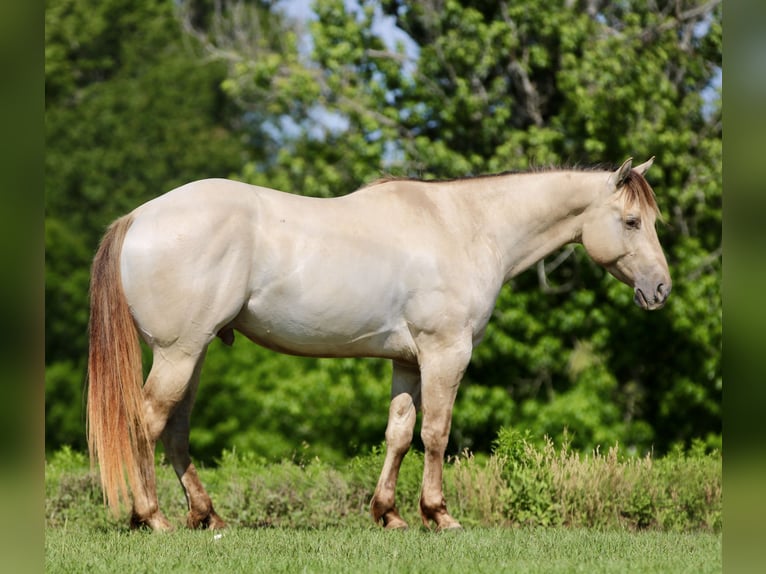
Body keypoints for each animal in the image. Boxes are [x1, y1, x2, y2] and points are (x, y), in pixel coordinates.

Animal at [87, 157, 671, 531]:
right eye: (631, 220)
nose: (661, 288)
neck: (464, 226)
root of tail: (139, 217)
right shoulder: (445, 354)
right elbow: (436, 434)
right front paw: (438, 514)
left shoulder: (407, 361)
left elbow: (399, 433)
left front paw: (388, 513)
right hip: (180, 352)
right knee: (147, 423)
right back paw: (152, 517)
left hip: (194, 352)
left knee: (175, 431)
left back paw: (205, 517)